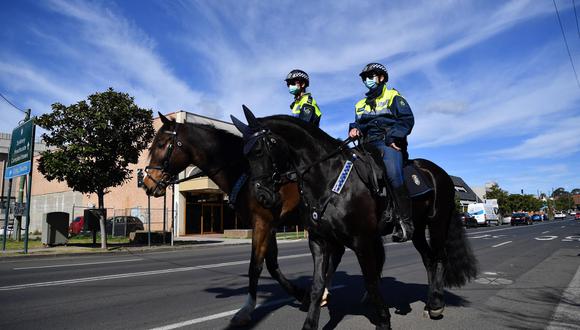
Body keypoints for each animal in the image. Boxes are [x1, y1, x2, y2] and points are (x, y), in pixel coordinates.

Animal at [143, 113, 340, 324]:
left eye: (161, 144)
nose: (147, 184)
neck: (243, 172)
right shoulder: (267, 225)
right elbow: (271, 265)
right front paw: (301, 294)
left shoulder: (262, 222)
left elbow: (255, 266)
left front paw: (247, 309)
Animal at [232, 107, 480, 330]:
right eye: (244, 155)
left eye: (260, 150)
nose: (262, 196)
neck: (329, 177)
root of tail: (441, 173)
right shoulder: (319, 241)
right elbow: (317, 285)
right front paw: (310, 323)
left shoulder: (362, 241)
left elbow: (370, 280)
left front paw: (383, 321)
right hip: (418, 230)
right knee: (428, 259)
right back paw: (429, 304)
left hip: (437, 222)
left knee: (439, 258)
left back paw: (437, 304)